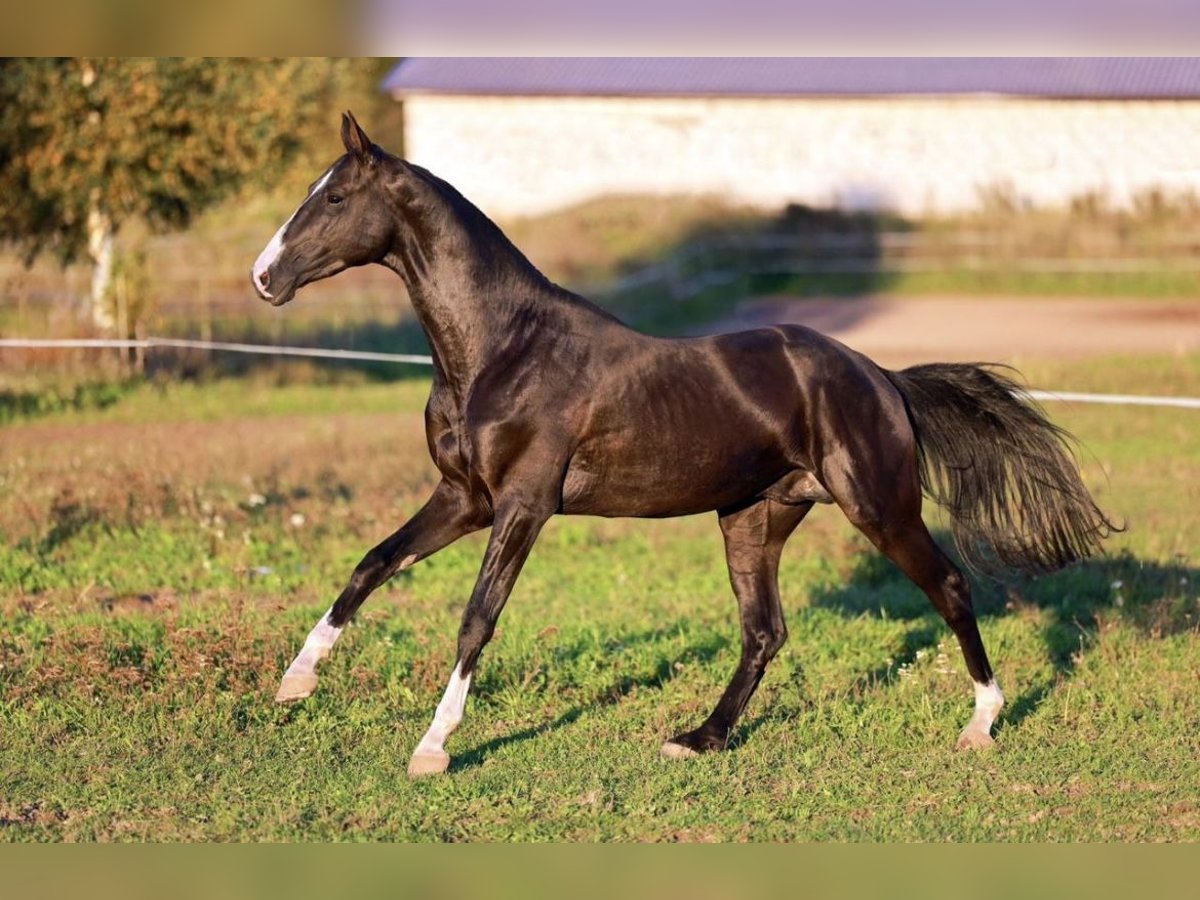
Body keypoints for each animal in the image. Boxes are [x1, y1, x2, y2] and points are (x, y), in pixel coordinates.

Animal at [253, 114, 1113, 777]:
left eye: (334, 197)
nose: (265, 278)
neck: (504, 348)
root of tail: (882, 378)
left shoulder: (522, 507)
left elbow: (477, 619)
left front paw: (432, 749)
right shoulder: (464, 498)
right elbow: (371, 564)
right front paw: (294, 684)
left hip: (879, 506)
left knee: (952, 589)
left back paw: (981, 724)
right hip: (754, 518)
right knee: (766, 632)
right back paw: (700, 739)